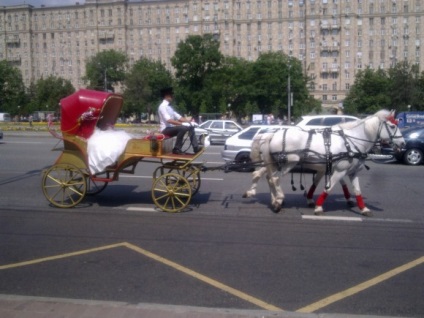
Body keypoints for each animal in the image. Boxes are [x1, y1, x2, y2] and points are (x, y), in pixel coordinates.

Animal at [252, 110, 404, 216]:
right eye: (392, 126)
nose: (403, 143)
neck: (351, 141)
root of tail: (273, 134)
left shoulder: (349, 171)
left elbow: (356, 190)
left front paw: (364, 208)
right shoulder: (339, 170)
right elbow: (328, 188)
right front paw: (319, 207)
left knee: (269, 177)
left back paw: (274, 200)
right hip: (289, 163)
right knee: (274, 178)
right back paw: (278, 200)